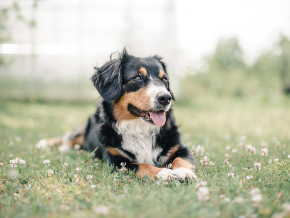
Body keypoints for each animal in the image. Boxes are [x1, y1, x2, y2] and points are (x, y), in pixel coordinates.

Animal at [36, 49, 197, 181]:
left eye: (164, 79)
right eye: (137, 77)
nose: (165, 98)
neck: (139, 128)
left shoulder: (179, 148)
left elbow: (181, 160)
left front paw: (183, 172)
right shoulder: (117, 161)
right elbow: (143, 165)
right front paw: (163, 173)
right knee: (67, 138)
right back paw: (48, 143)